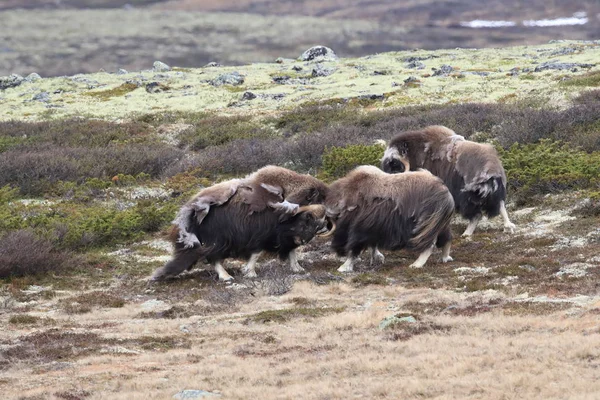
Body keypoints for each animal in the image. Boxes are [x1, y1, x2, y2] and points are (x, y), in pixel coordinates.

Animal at [149, 166, 328, 282]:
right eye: (307, 218)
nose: (303, 240)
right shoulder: (259, 236)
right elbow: (256, 253)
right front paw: (250, 273)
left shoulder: (285, 238)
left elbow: (292, 253)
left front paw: (298, 268)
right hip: (217, 241)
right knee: (213, 258)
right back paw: (226, 277)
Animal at [382, 126, 512, 236]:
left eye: (395, 165)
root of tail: (492, 168)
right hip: (494, 193)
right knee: (501, 206)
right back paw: (508, 227)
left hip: (468, 196)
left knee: (477, 215)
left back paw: (466, 234)